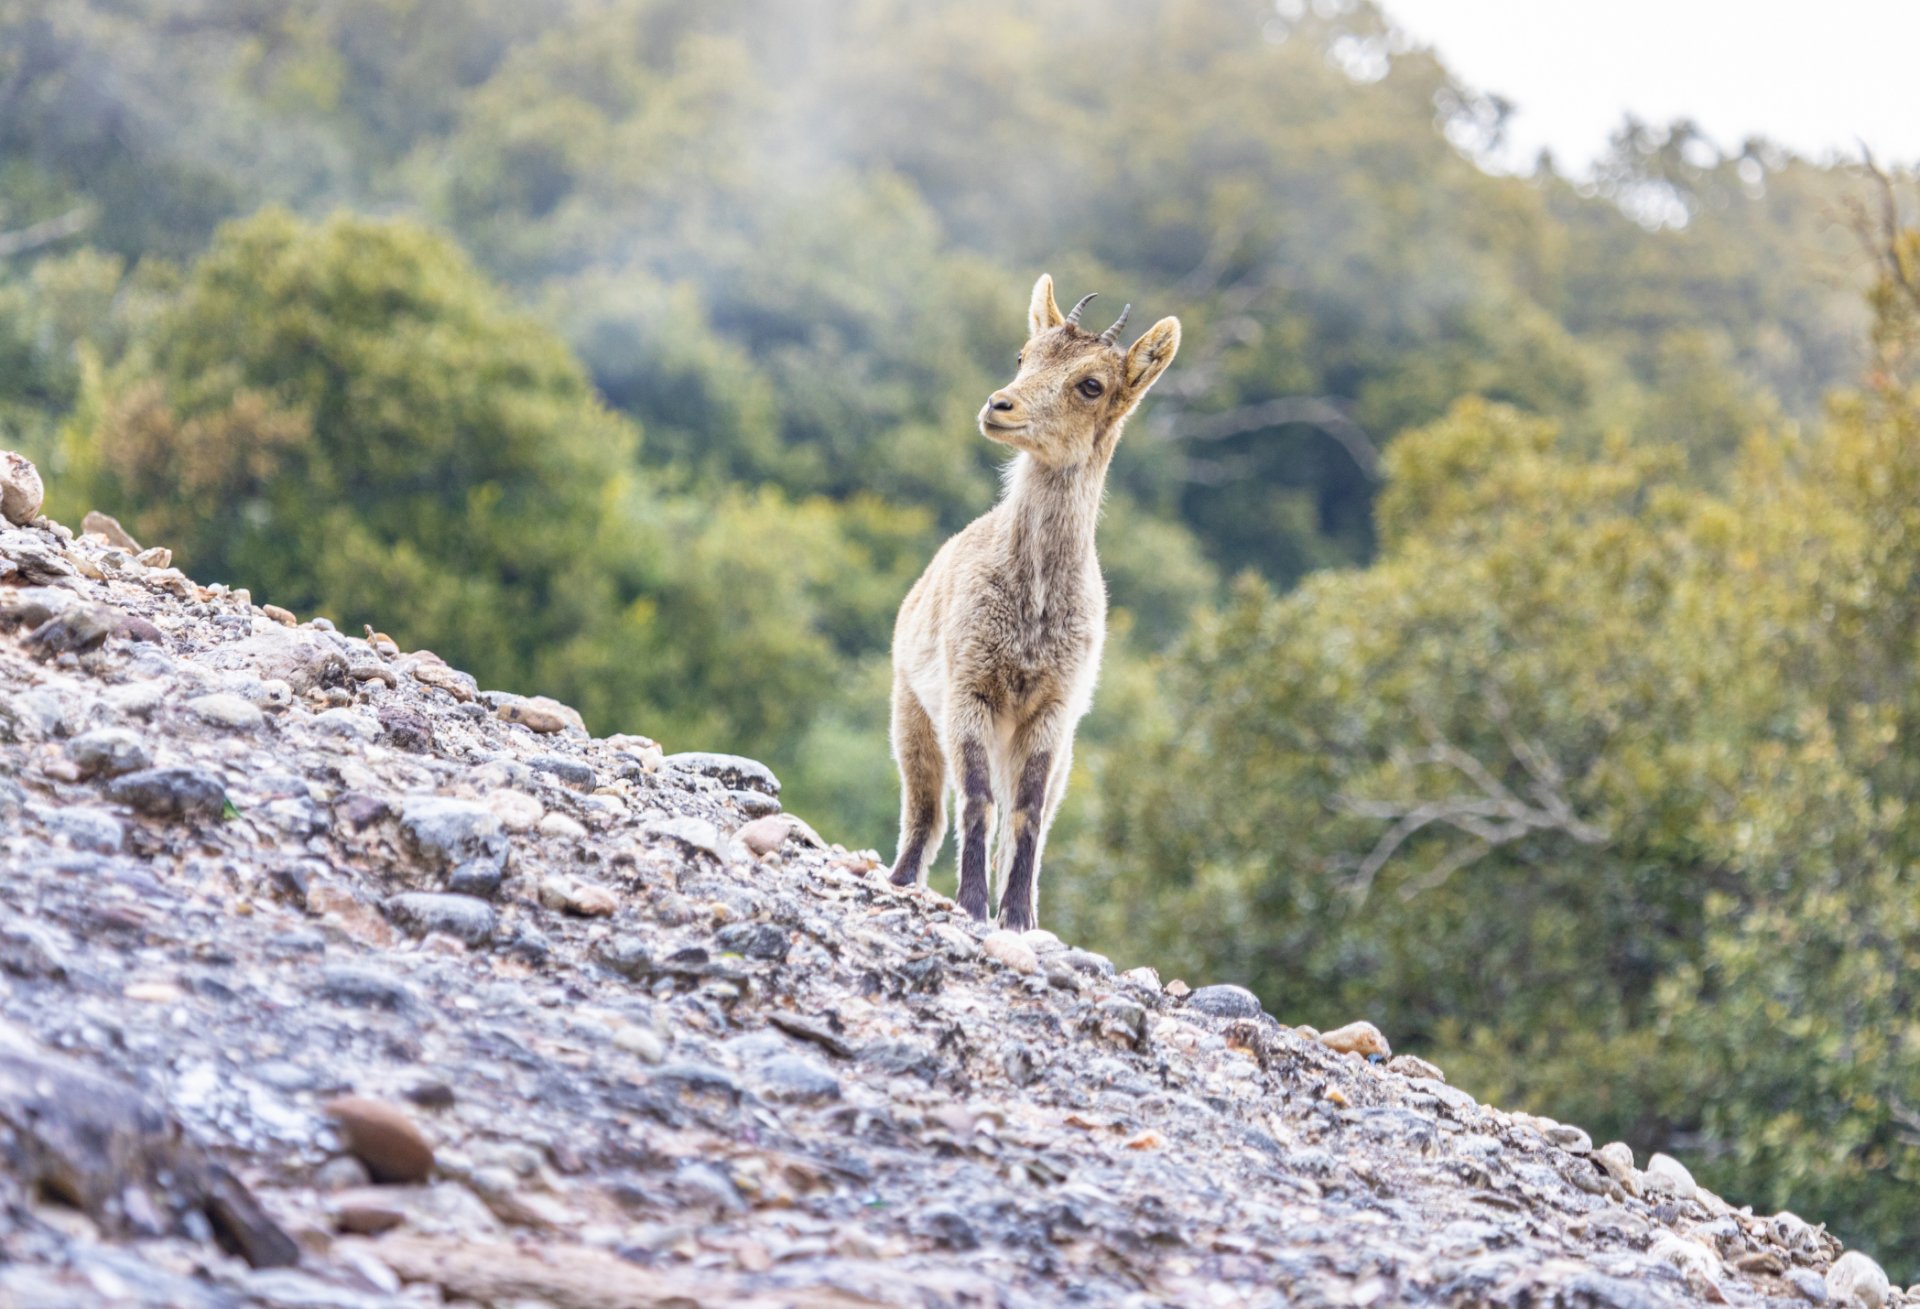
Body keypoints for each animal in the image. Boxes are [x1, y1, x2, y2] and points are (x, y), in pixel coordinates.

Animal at [887, 272, 1182, 928]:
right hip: (912, 711)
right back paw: (900, 881)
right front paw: (973, 905)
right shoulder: (969, 688)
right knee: (926, 811)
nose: (1000, 406)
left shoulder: (1052, 709)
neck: (1034, 604)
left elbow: (1026, 813)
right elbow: (977, 802)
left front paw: (1018, 916)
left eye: (1091, 384)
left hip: (1054, 750)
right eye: (1024, 355)